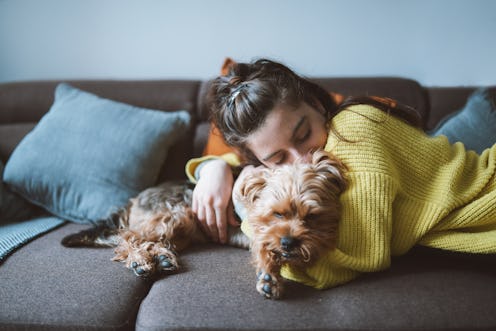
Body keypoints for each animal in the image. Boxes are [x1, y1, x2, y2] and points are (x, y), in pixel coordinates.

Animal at [61, 149, 344, 300]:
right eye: (277, 214)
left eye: (312, 216)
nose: (289, 242)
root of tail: (136, 197)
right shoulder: (261, 230)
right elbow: (264, 246)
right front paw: (269, 275)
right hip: (176, 213)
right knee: (128, 237)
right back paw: (140, 260)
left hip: (182, 227)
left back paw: (161, 257)